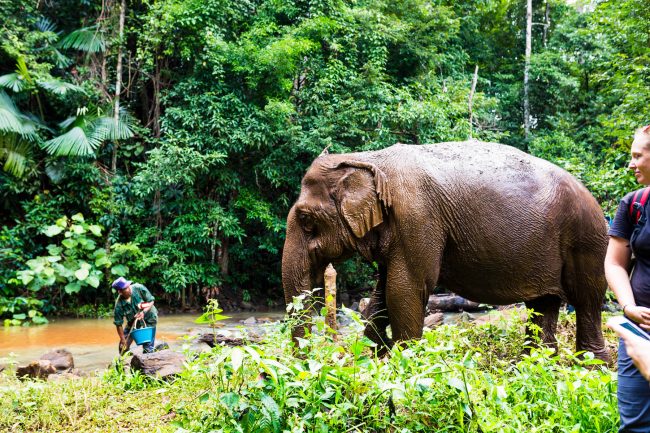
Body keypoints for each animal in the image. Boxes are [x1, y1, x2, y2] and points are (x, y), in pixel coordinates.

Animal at [280, 140, 612, 360]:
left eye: (306, 220)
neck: (369, 158)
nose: (307, 362)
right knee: (543, 304)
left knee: (587, 300)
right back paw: (537, 365)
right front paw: (374, 352)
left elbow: (405, 289)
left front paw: (404, 362)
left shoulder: (418, 218)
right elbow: (382, 291)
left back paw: (591, 367)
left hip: (587, 240)